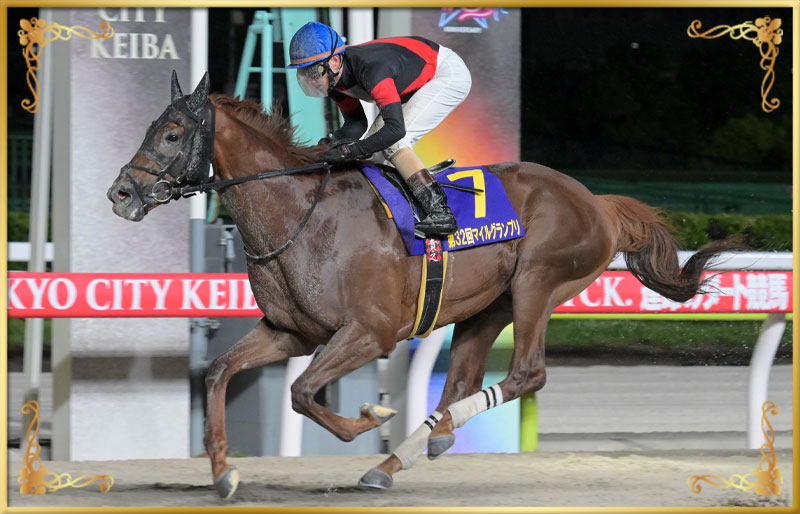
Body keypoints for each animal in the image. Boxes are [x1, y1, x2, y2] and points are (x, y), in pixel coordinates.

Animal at [107, 72, 743, 500]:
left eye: (171, 134)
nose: (121, 193)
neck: (299, 214)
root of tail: (598, 203)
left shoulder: (370, 332)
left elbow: (303, 393)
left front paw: (371, 418)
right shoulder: (290, 331)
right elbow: (221, 372)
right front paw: (223, 471)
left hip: (538, 283)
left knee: (526, 374)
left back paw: (412, 448)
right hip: (488, 305)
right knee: (459, 383)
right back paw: (407, 455)